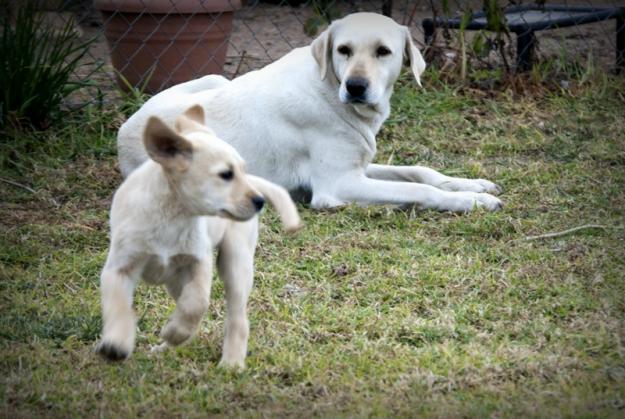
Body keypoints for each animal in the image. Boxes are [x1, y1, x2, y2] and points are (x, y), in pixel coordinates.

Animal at [96, 106, 302, 370]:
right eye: (226, 174)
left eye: (242, 171)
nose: (260, 201)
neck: (172, 215)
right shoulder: (119, 267)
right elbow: (118, 305)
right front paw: (116, 344)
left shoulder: (199, 261)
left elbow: (197, 303)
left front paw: (174, 331)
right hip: (175, 280)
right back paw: (167, 346)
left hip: (235, 262)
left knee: (237, 317)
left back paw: (231, 362)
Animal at [116, 13, 502, 213]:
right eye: (344, 50)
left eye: (383, 51)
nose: (356, 86)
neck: (330, 90)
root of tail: (124, 130)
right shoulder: (337, 185)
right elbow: (419, 190)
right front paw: (472, 200)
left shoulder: (358, 167)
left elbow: (420, 172)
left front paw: (474, 184)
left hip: (216, 78)